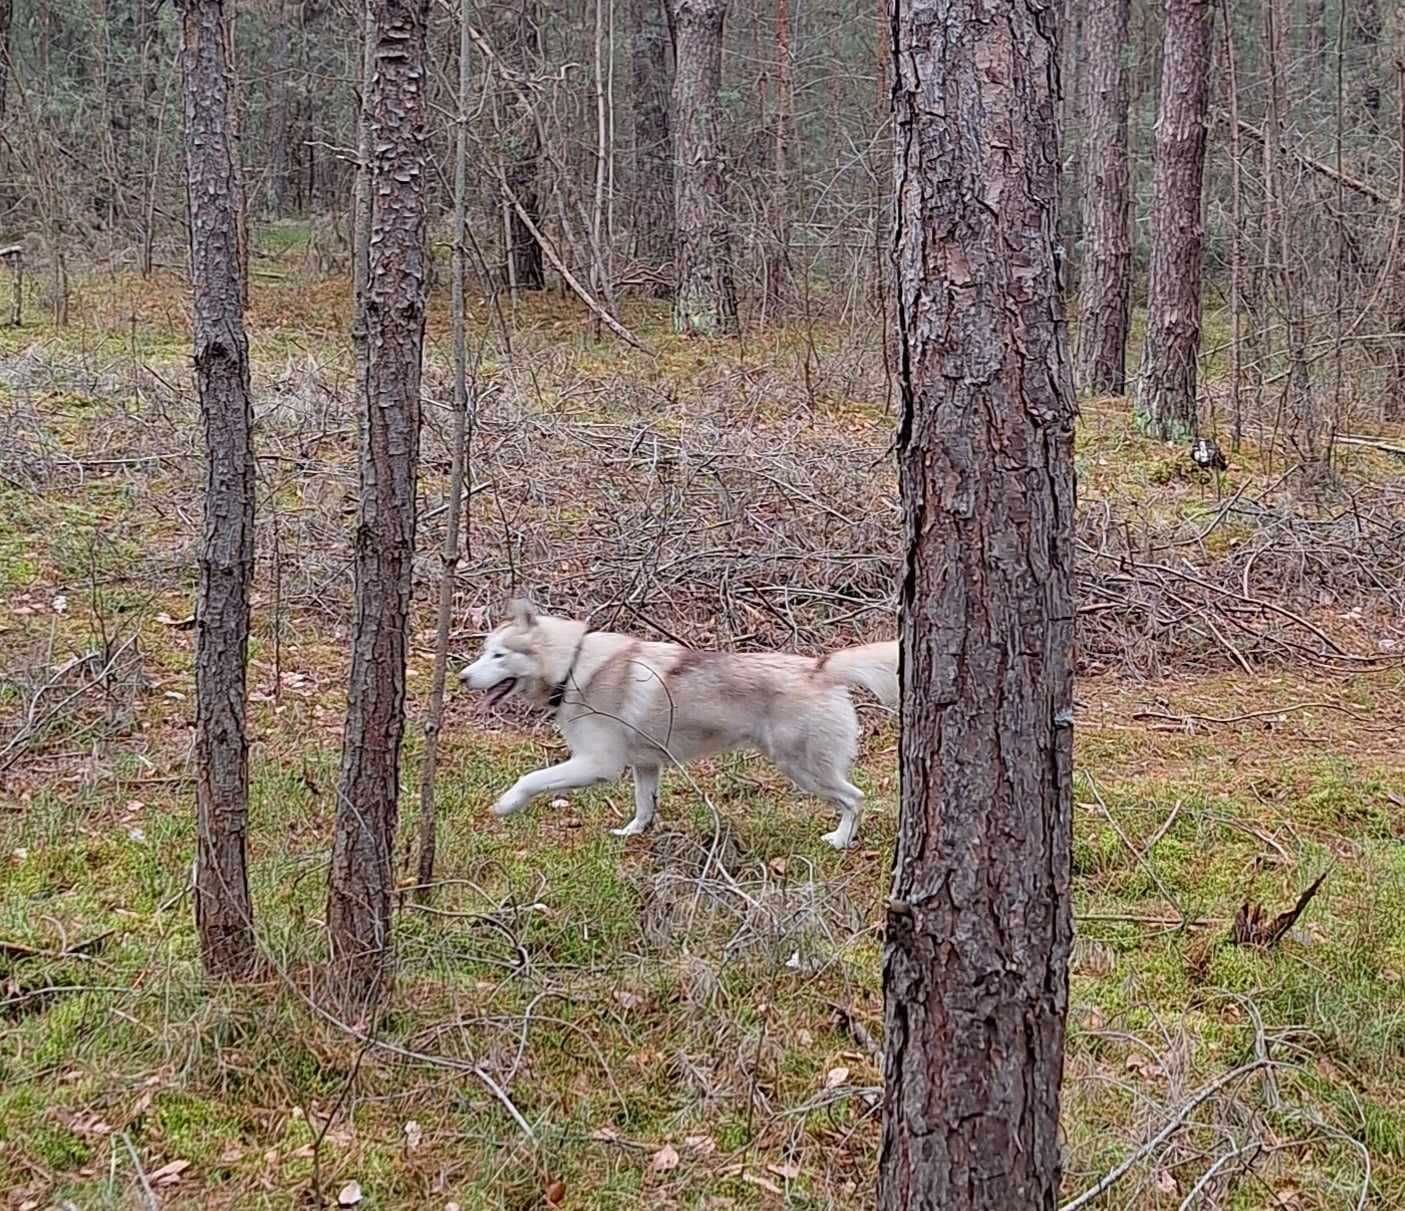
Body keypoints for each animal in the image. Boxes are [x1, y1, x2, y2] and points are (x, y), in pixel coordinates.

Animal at [460, 601, 899, 848]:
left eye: (498, 655)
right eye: (485, 652)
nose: (463, 678)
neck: (572, 665)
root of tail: (821, 668)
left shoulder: (597, 765)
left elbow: (531, 779)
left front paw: (506, 804)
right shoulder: (645, 766)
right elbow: (644, 806)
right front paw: (632, 834)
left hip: (803, 769)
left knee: (855, 799)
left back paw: (840, 841)